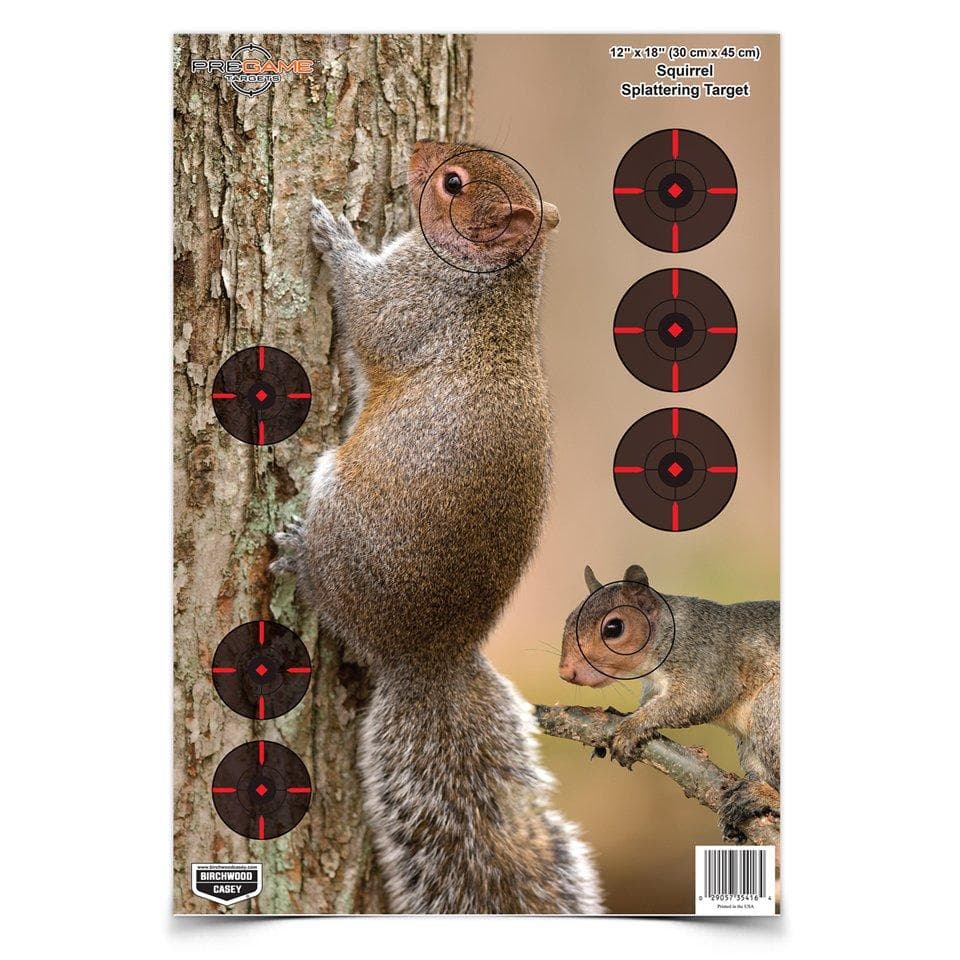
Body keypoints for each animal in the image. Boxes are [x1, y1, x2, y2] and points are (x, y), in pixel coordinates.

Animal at [273, 140, 602, 913]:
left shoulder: (414, 303)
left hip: (343, 515)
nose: (418, 153)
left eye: (454, 183)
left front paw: (334, 235)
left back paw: (296, 555)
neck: (496, 283)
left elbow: (367, 313)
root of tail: (428, 656)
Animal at [559, 564, 780, 842]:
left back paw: (765, 797)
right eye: (569, 619)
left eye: (613, 628)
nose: (566, 672)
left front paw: (631, 728)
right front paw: (622, 715)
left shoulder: (707, 662)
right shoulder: (654, 687)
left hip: (770, 710)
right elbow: (649, 702)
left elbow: (699, 699)